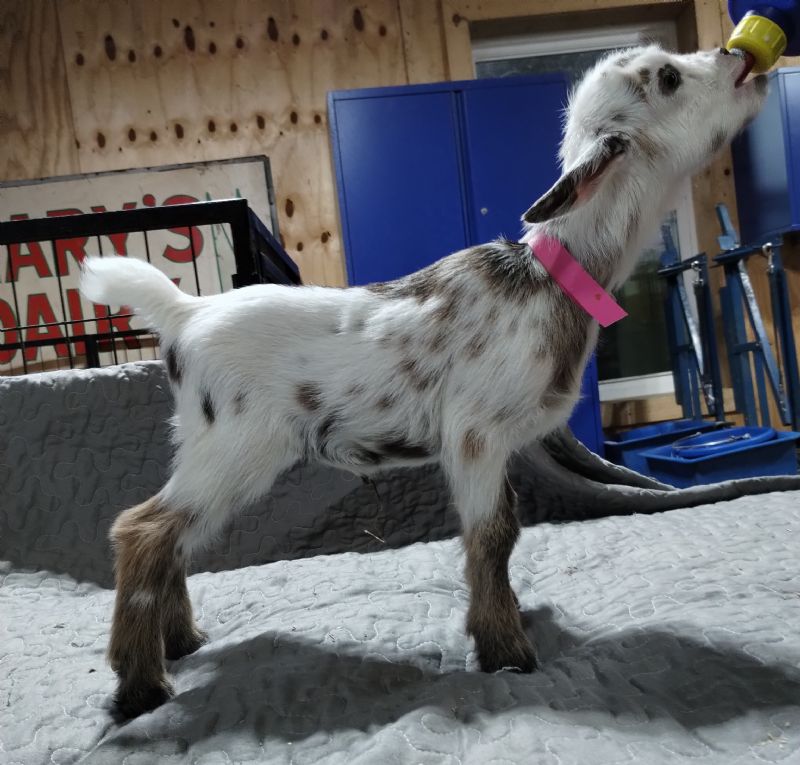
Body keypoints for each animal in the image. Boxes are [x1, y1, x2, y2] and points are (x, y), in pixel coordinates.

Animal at [80, 45, 766, 719]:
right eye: (668, 77)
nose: (737, 56)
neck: (549, 277)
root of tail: (185, 313)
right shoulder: (475, 436)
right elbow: (492, 535)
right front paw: (506, 650)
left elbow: (505, 531)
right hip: (236, 447)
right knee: (142, 530)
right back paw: (140, 686)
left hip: (204, 445)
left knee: (170, 537)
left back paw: (180, 641)